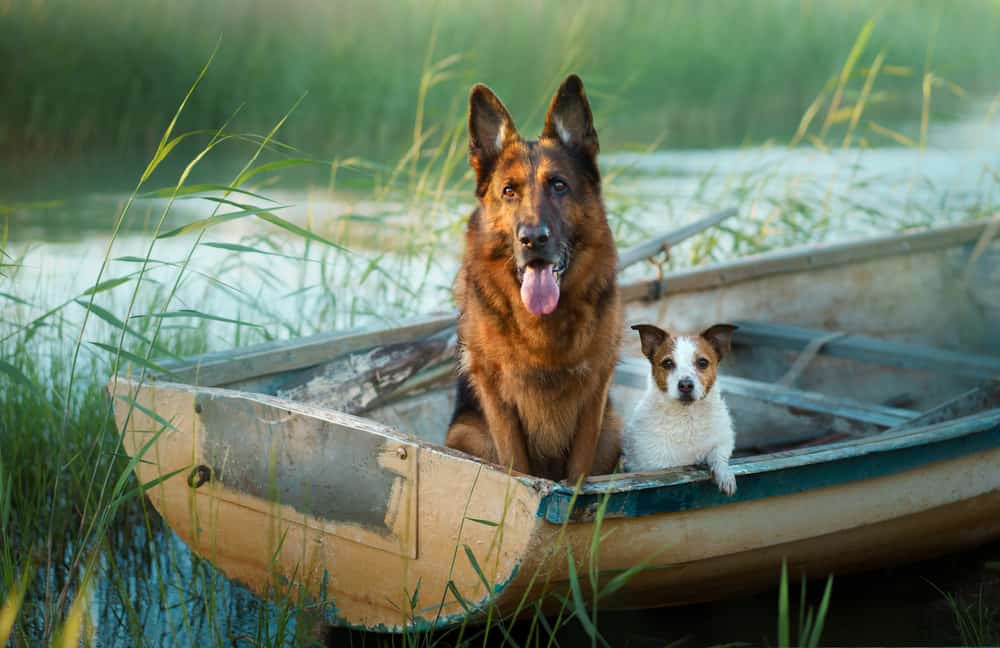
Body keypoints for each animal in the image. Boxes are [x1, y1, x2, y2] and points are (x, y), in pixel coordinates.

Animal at [444, 74, 616, 480]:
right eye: (509, 191)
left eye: (559, 185)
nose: (533, 238)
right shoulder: (497, 397)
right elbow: (515, 470)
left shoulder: (595, 396)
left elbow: (578, 476)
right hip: (467, 432)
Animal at [624, 322, 744, 494]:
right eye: (667, 363)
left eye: (703, 362)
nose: (686, 385)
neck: (687, 417)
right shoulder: (659, 465)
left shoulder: (722, 441)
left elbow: (718, 456)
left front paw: (725, 475)